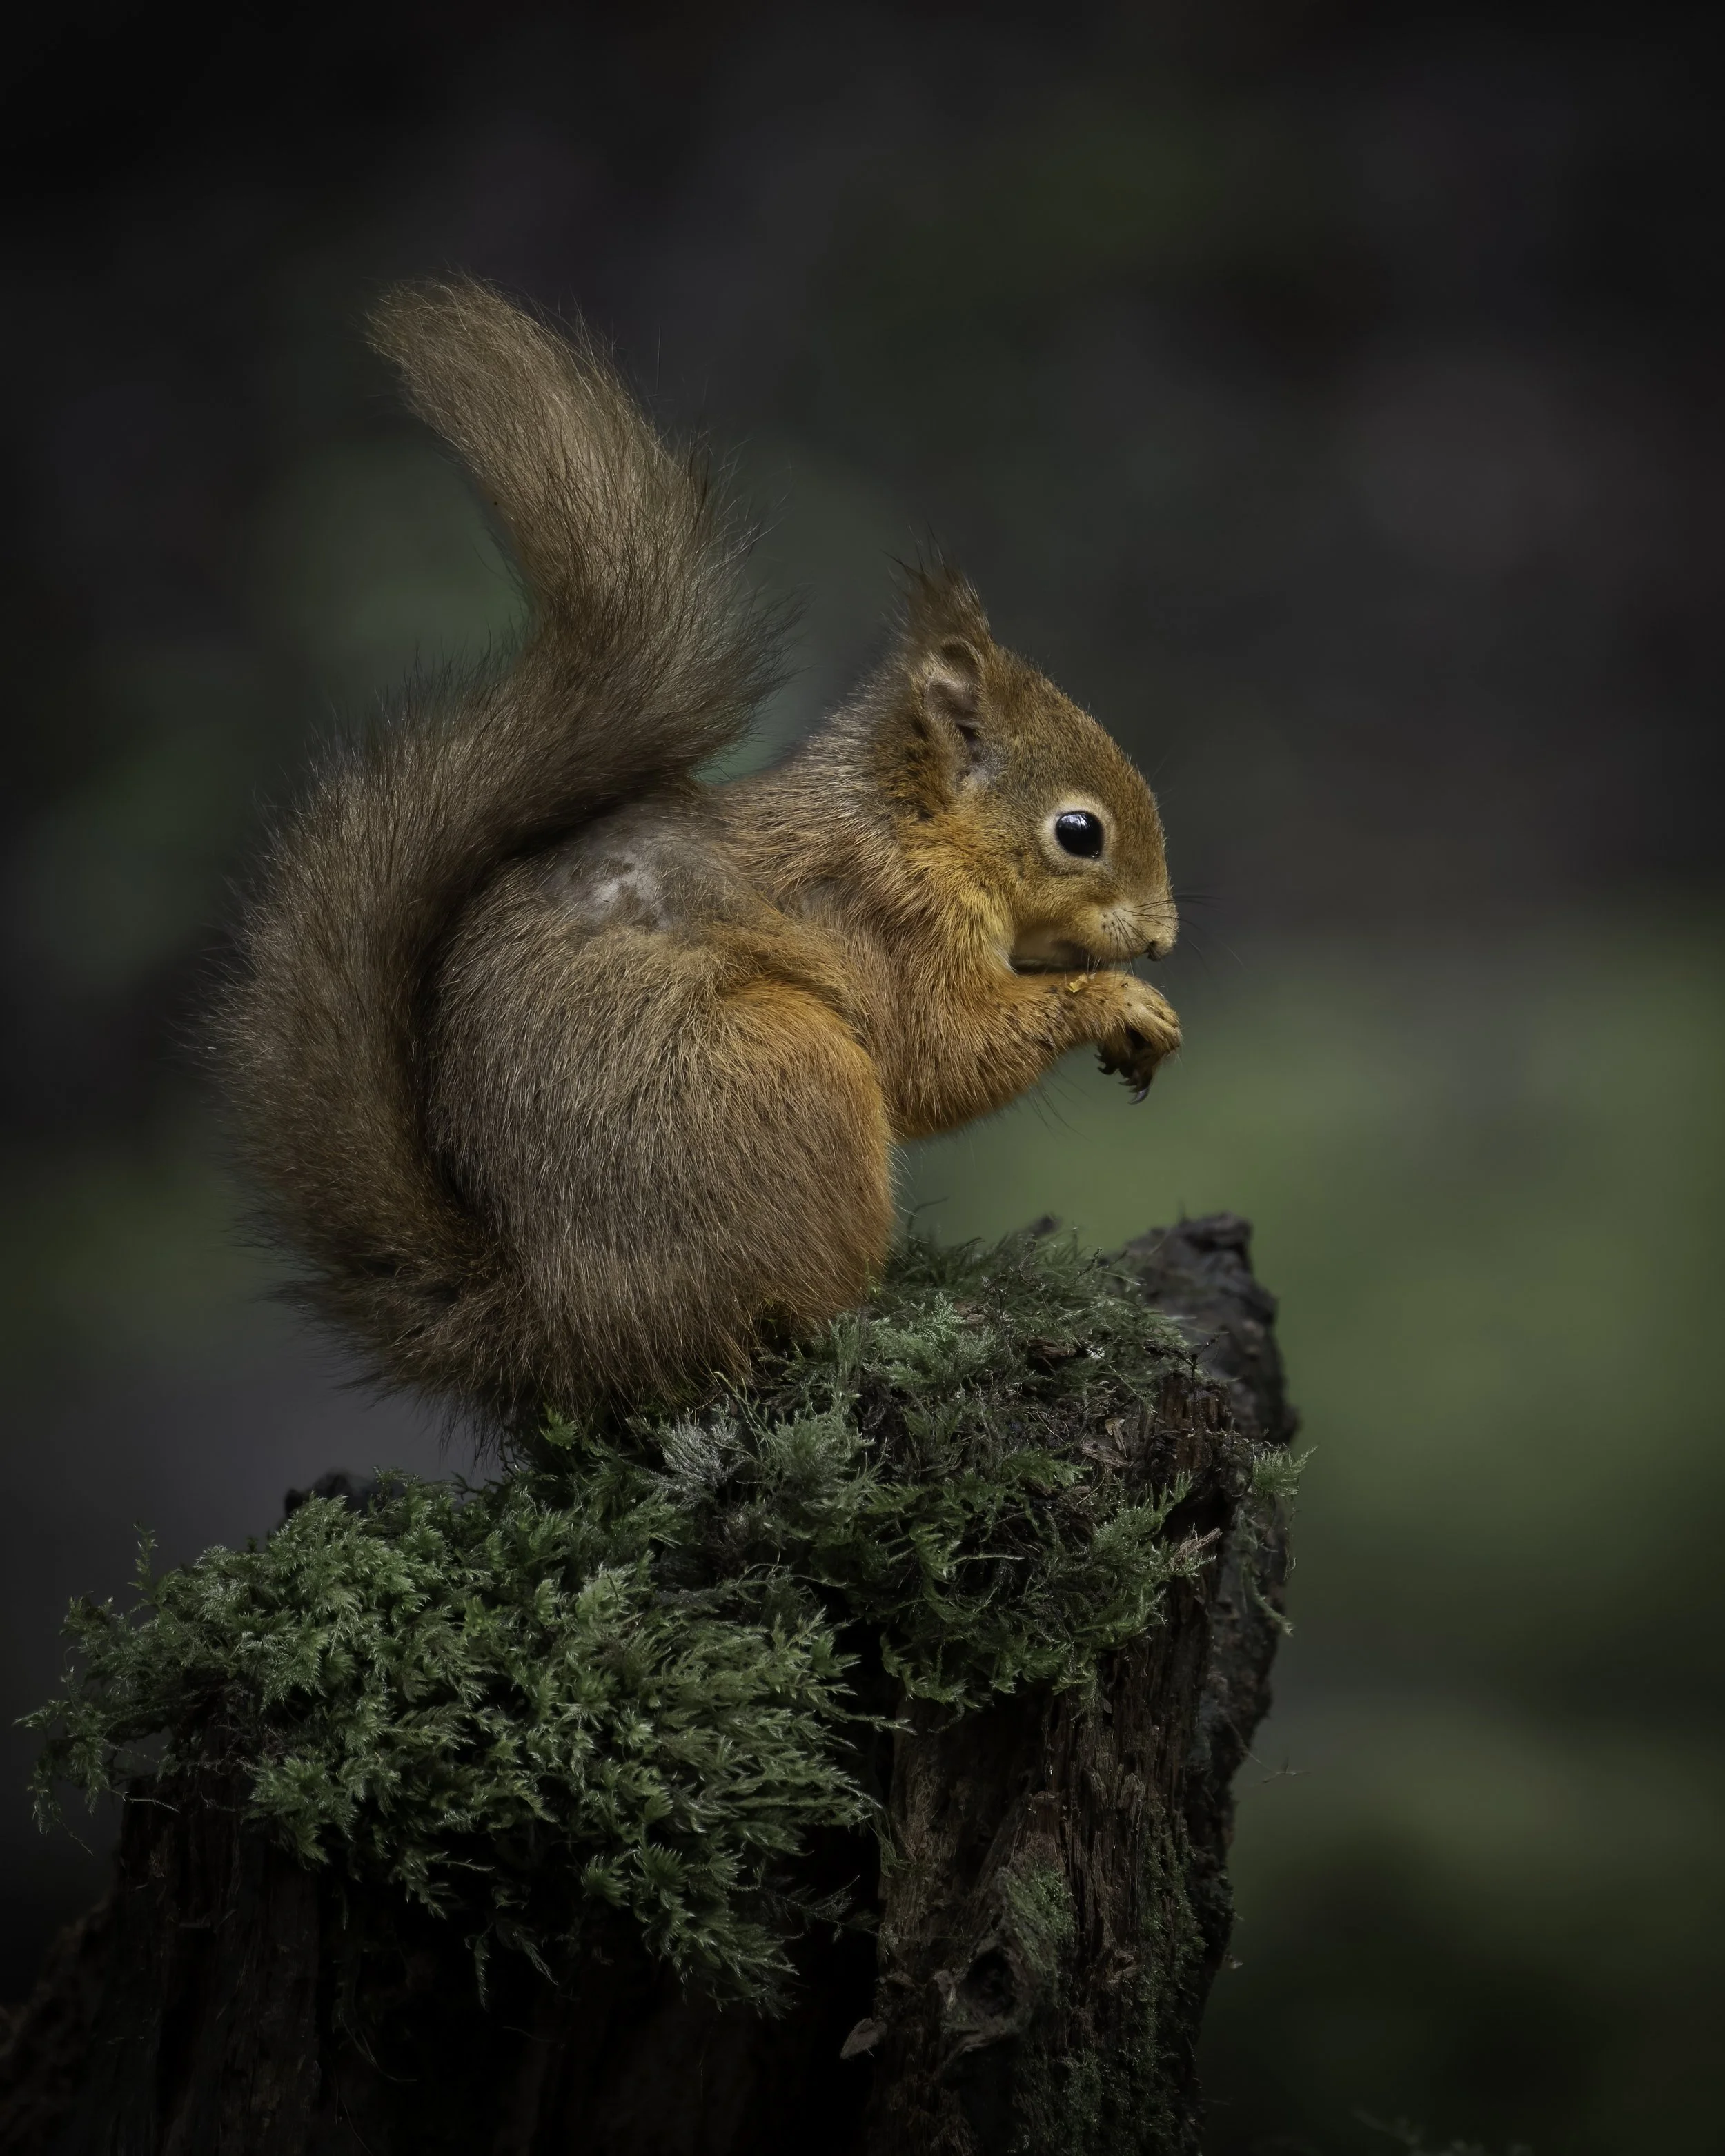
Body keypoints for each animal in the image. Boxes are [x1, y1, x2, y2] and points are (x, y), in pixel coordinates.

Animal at [220, 279, 1180, 1432]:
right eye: (1079, 833)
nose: (1165, 936)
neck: (905, 831)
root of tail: (567, 1328)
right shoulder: (885, 923)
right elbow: (943, 1052)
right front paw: (1118, 1001)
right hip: (784, 1076)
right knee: (770, 1319)